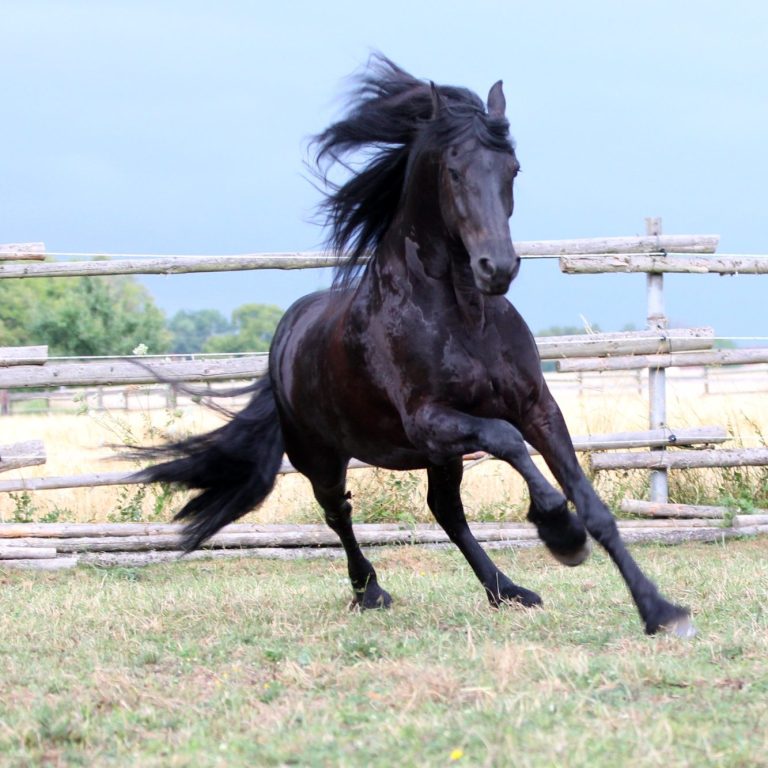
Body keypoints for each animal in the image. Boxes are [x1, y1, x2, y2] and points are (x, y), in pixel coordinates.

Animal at [135, 55, 694, 637]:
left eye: (513, 170)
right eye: (454, 171)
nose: (497, 268)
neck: (466, 318)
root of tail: (285, 337)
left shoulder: (536, 406)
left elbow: (592, 502)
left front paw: (660, 611)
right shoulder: (430, 419)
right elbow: (508, 441)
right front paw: (559, 531)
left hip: (435, 455)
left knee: (445, 511)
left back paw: (507, 591)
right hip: (321, 455)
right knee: (339, 512)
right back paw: (370, 591)